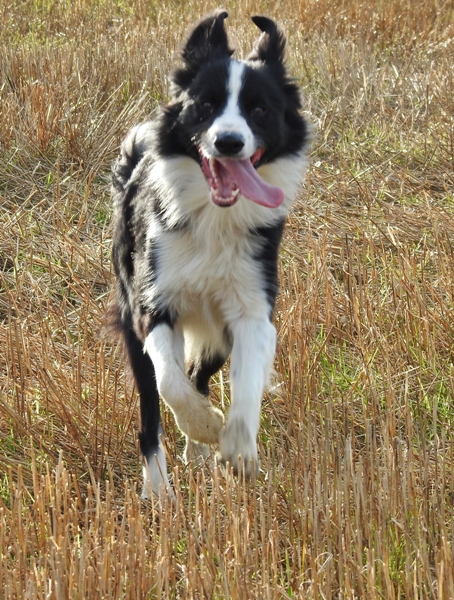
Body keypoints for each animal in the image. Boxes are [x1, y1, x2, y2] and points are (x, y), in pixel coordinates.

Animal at [111, 11, 308, 496]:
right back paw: (158, 489)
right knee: (153, 409)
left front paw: (236, 447)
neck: (213, 218)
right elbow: (170, 381)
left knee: (200, 374)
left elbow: (246, 381)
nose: (229, 143)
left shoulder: (251, 308)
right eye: (205, 105)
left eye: (259, 109)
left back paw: (198, 451)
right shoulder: (151, 305)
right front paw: (205, 426)